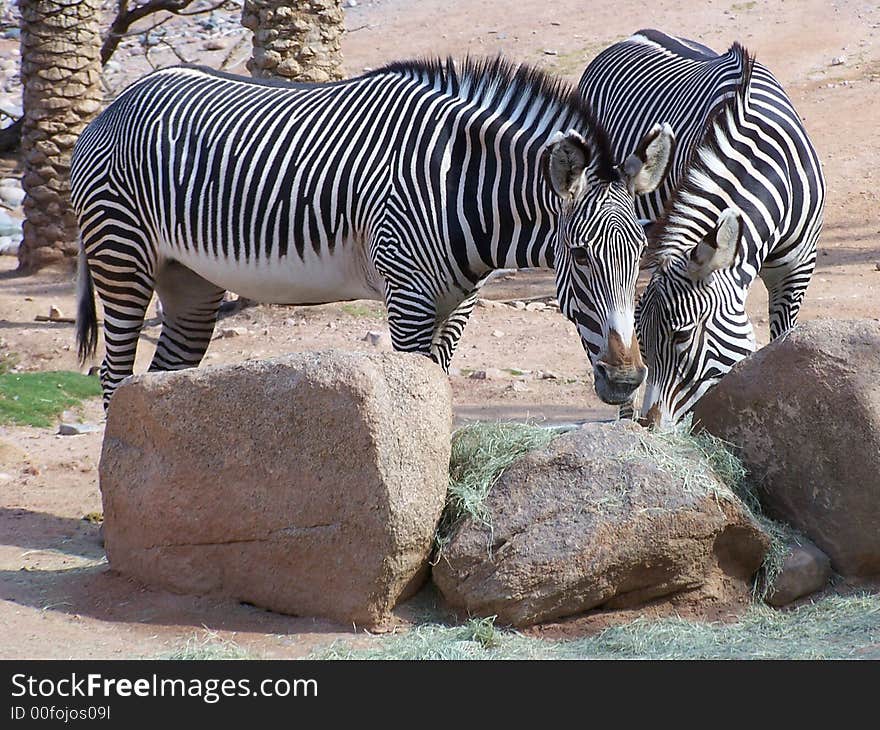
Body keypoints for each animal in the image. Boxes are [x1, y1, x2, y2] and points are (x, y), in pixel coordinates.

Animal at [70, 57, 672, 406]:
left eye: (641, 252)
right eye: (580, 254)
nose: (626, 383)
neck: (459, 182)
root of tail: (114, 102)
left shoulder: (459, 305)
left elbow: (439, 392)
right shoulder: (407, 298)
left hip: (190, 280)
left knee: (158, 378)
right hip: (121, 256)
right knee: (114, 377)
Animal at [576, 29, 824, 426]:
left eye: (683, 336)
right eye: (643, 338)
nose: (649, 425)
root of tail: (634, 35)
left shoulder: (797, 270)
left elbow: (781, 341)